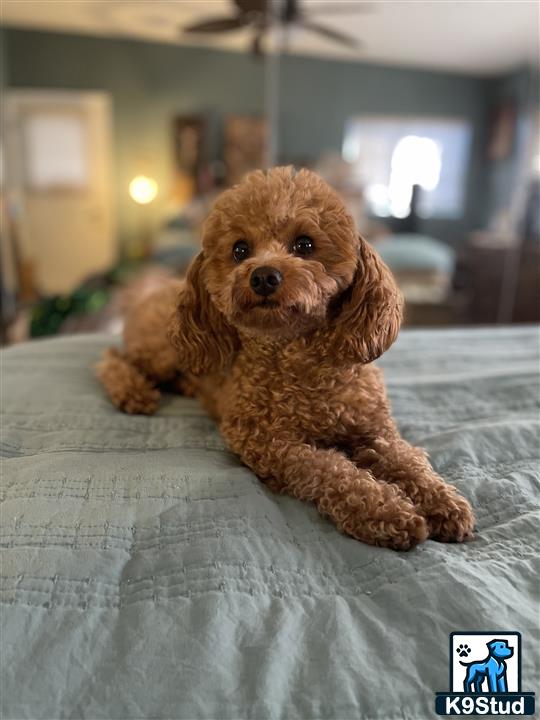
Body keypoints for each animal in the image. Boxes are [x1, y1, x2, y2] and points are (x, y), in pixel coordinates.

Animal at [99, 167, 474, 552]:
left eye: (304, 245)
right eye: (240, 250)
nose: (264, 275)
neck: (302, 362)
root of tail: (152, 291)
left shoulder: (375, 431)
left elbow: (407, 458)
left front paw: (442, 501)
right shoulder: (266, 442)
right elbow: (327, 468)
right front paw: (385, 510)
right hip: (162, 352)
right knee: (110, 358)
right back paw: (133, 392)